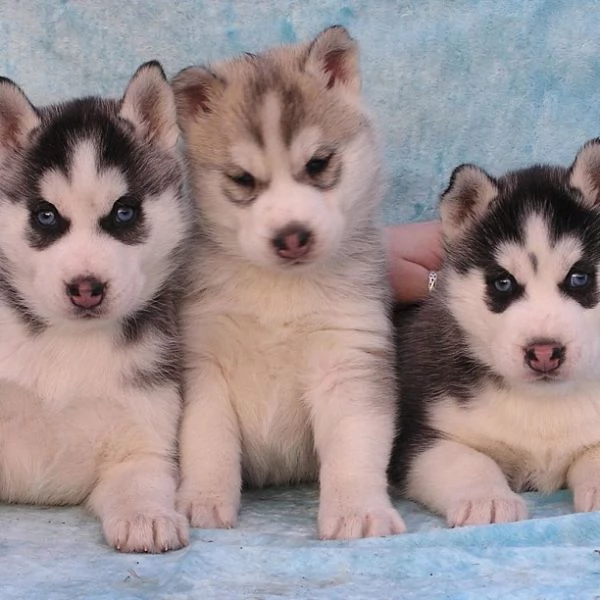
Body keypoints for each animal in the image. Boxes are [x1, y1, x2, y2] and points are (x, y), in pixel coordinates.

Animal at [0, 63, 195, 552]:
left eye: (124, 212)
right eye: (46, 215)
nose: (85, 288)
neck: (69, 342)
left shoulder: (143, 437)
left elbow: (141, 479)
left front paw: (147, 517)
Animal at [171, 27, 406, 540]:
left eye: (318, 163)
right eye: (242, 178)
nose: (291, 236)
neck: (280, 290)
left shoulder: (348, 360)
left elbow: (354, 448)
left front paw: (357, 510)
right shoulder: (203, 362)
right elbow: (207, 440)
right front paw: (203, 499)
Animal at [390, 139, 600, 524]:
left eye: (580, 277)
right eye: (503, 283)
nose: (543, 352)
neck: (543, 405)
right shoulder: (418, 436)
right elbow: (468, 461)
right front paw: (485, 499)